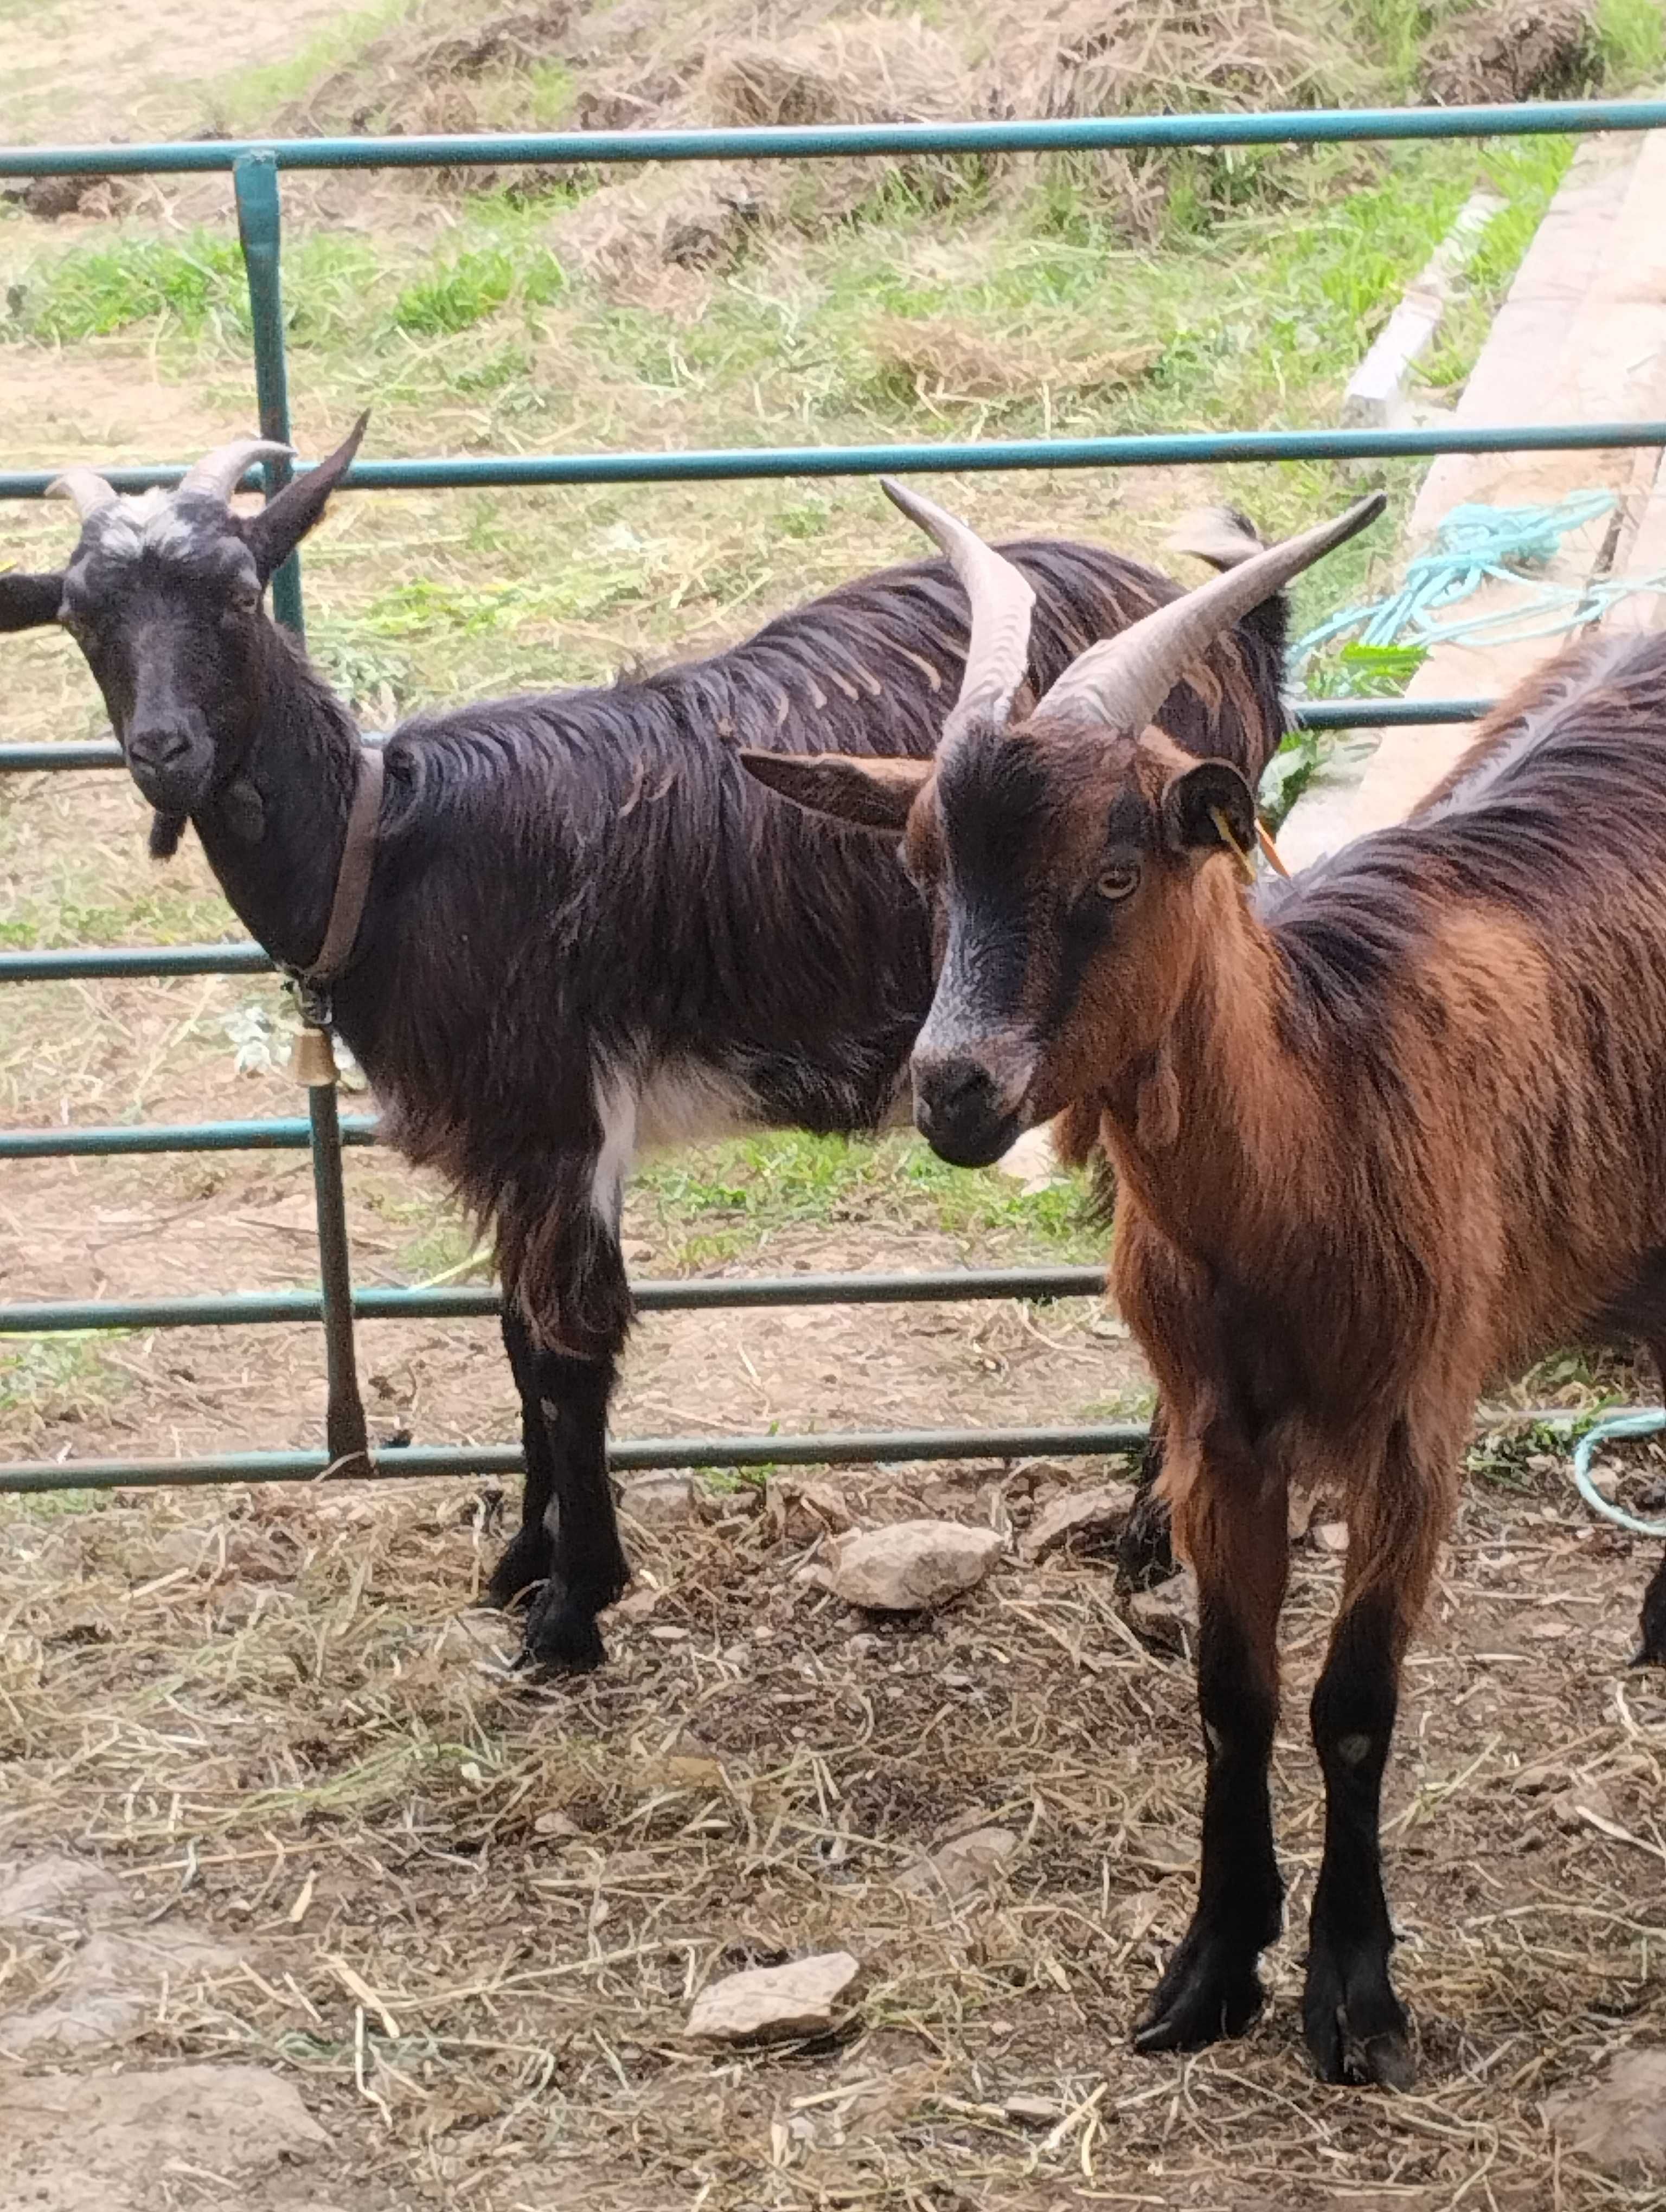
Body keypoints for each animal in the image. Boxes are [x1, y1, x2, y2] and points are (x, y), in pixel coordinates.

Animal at [3, 418, 1283, 1663]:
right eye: (77, 614)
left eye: (237, 591)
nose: (165, 749)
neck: (386, 850)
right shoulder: (507, 1150)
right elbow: (517, 1341)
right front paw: (522, 1566)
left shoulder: (557, 1122)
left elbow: (571, 1353)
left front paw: (573, 1611)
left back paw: (1155, 1533)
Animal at [747, 488, 1663, 2088]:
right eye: (924, 867)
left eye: (1115, 873)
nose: (954, 1092)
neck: (1325, 1117)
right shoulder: (1212, 1429)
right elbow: (1230, 1695)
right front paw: (1209, 1969)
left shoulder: (1415, 1428)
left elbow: (1351, 1708)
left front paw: (1355, 1998)